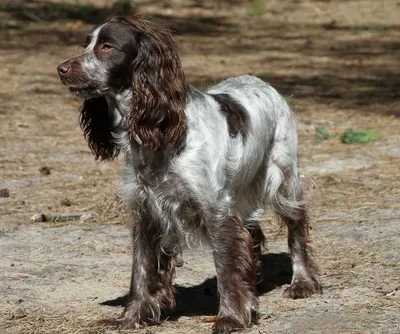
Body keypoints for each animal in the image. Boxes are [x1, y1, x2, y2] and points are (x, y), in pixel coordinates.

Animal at [56, 13, 320, 334]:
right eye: (86, 44)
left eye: (107, 46)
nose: (61, 69)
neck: (162, 133)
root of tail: (262, 82)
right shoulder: (147, 209)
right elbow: (141, 269)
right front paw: (132, 317)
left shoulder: (215, 210)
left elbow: (225, 265)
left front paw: (231, 317)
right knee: (252, 233)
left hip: (283, 178)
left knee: (296, 226)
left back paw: (302, 282)